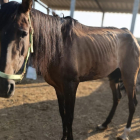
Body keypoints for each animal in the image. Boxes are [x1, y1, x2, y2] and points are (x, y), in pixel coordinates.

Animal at [0, 0, 140, 139]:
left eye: (24, 33)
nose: (4, 87)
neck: (60, 47)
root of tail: (132, 36)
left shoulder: (71, 85)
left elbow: (69, 117)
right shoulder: (58, 87)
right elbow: (63, 115)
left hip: (129, 76)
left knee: (132, 103)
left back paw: (125, 133)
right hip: (113, 76)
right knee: (117, 98)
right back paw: (104, 124)